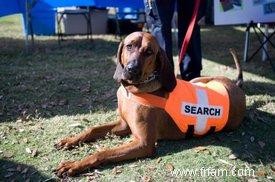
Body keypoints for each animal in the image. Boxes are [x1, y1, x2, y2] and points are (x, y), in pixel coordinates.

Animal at [54, 32, 246, 177]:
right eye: (129, 46)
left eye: (149, 52)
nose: (131, 69)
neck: (132, 91)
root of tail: (236, 86)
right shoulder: (124, 125)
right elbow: (92, 129)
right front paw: (70, 140)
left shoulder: (143, 144)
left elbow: (103, 152)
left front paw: (74, 165)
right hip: (198, 80)